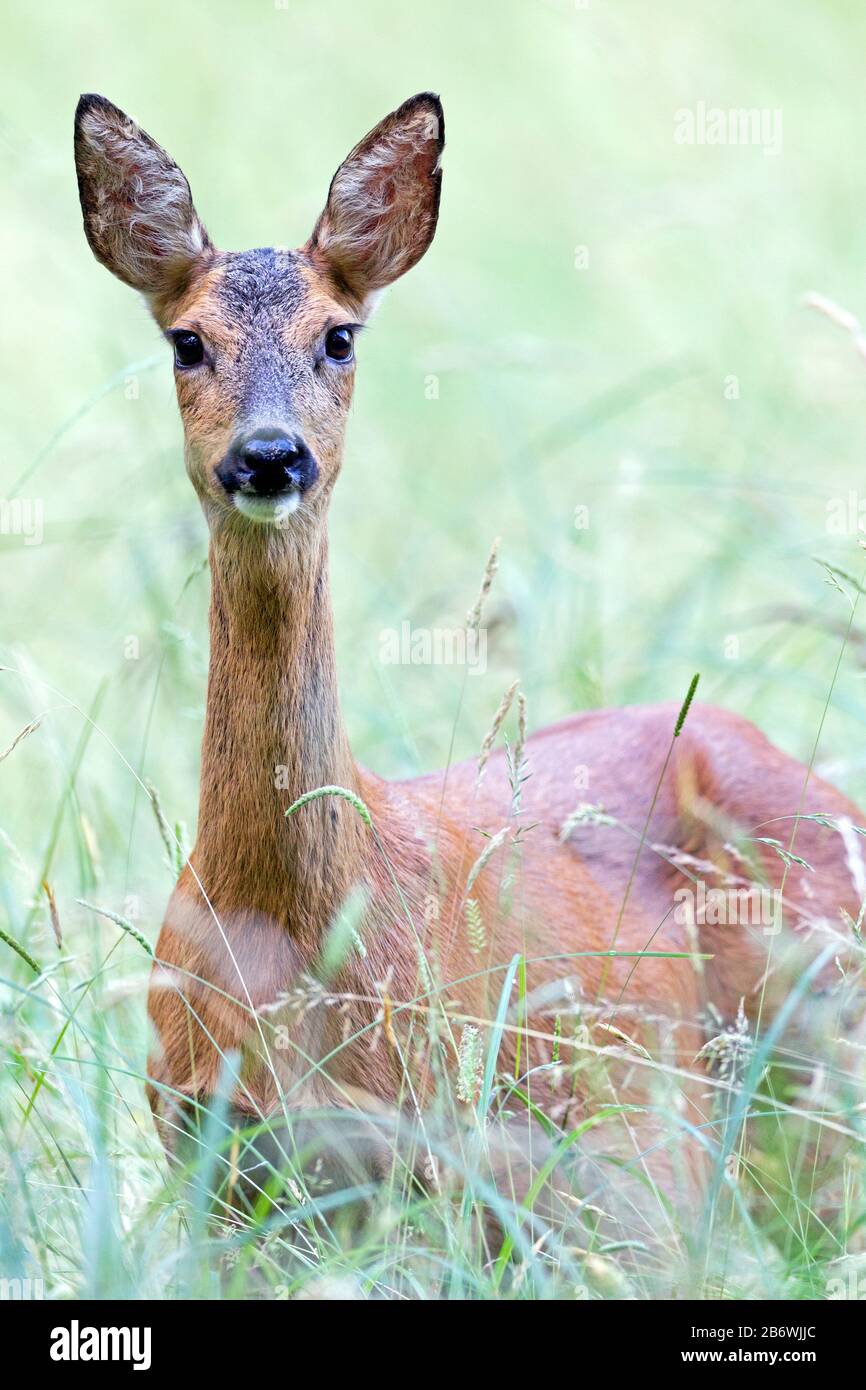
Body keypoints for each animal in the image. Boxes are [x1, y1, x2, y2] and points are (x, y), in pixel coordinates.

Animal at [76, 89, 866, 1217]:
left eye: (339, 336)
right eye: (186, 342)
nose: (269, 455)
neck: (288, 929)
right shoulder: (208, 1160)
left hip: (808, 1068)